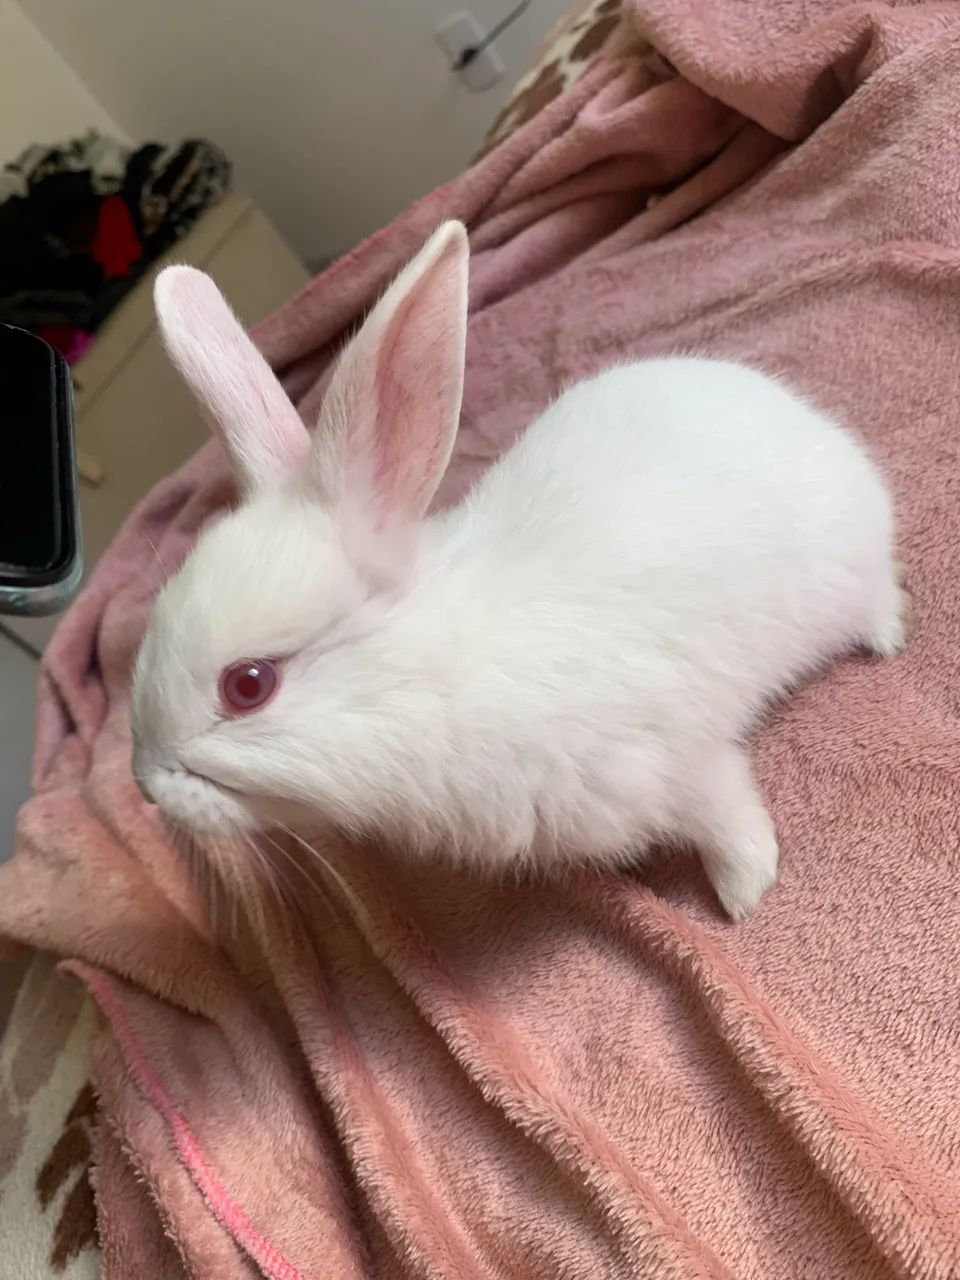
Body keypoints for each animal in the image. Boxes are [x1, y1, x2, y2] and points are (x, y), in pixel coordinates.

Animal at [130, 220, 906, 921]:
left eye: (249, 685)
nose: (145, 789)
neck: (438, 677)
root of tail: (805, 418)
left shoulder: (676, 760)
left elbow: (726, 811)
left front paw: (746, 896)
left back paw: (887, 639)